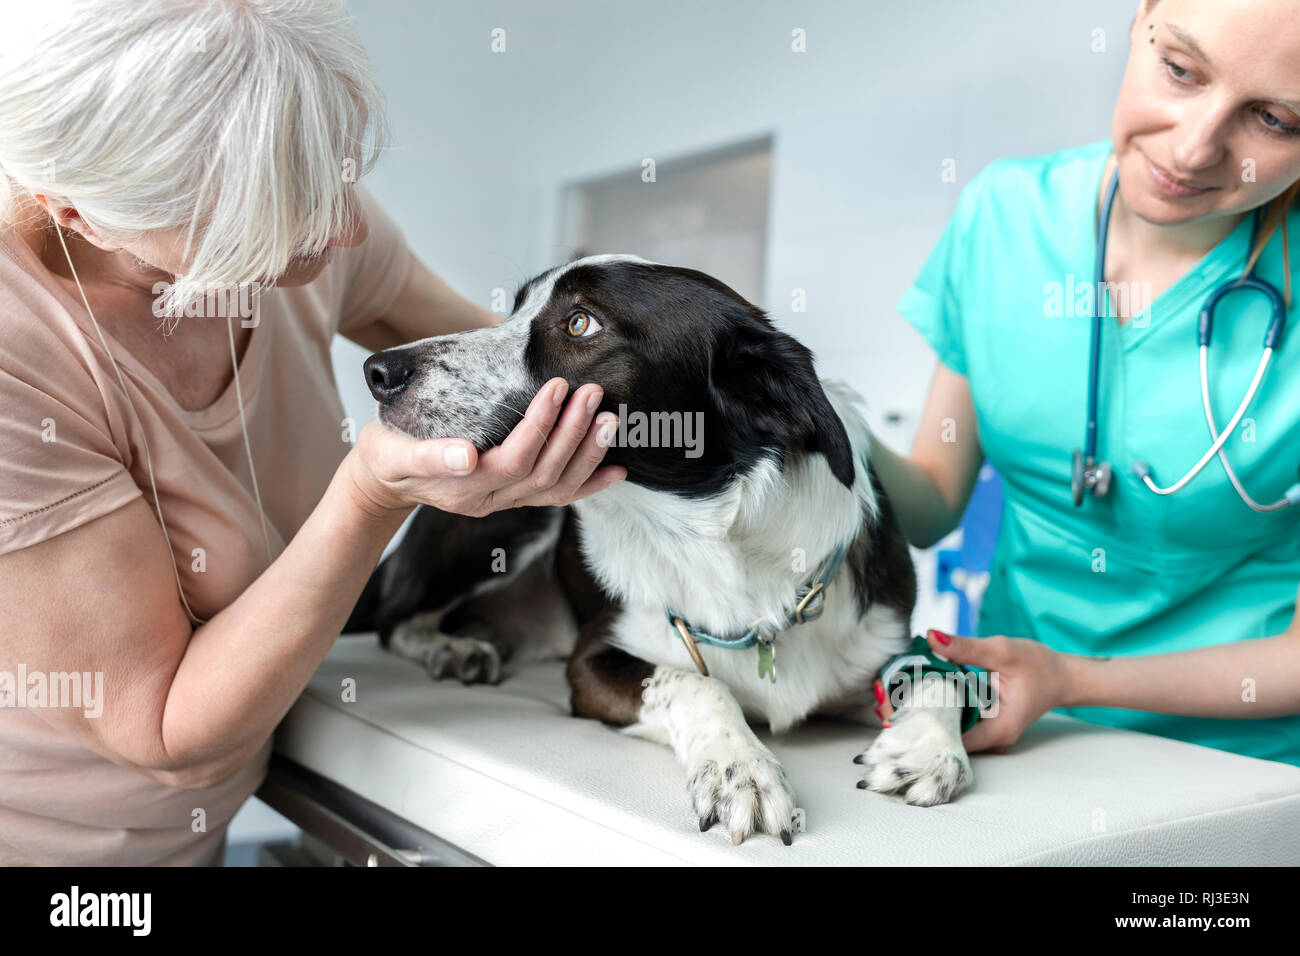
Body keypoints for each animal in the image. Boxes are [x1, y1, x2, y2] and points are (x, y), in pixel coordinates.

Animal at [345, 254, 977, 842]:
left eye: (580, 323)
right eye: (515, 309)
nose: (378, 370)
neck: (715, 546)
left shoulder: (886, 641)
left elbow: (946, 672)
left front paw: (927, 748)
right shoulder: (591, 663)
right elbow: (697, 681)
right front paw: (740, 767)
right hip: (508, 521)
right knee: (393, 621)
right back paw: (452, 648)